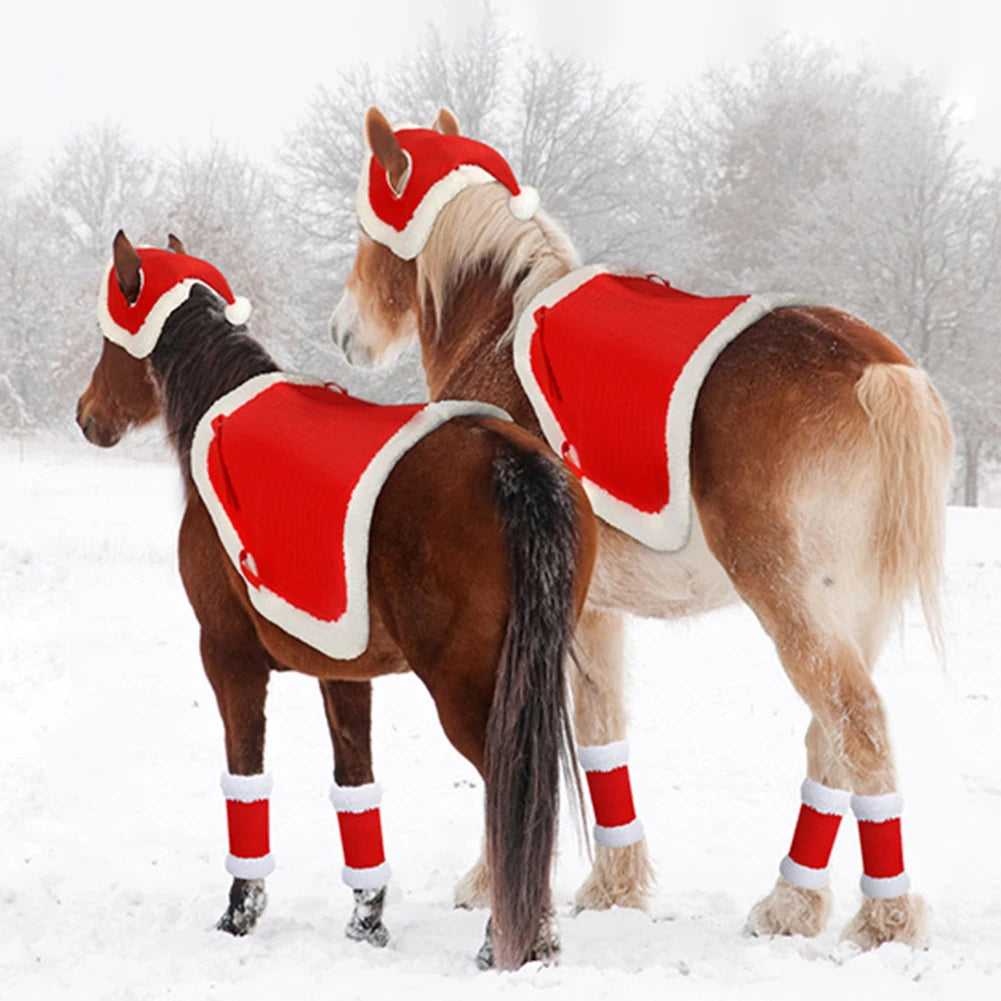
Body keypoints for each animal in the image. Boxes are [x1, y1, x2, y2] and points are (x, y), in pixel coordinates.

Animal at [75, 230, 597, 971]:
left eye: (107, 337)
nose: (87, 416)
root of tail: (509, 461)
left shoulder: (227, 657)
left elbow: (245, 776)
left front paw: (240, 911)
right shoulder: (343, 671)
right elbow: (355, 785)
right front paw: (367, 921)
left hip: (471, 690)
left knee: (513, 789)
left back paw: (512, 941)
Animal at [330, 106, 954, 949]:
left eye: (365, 230)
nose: (343, 332)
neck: (496, 336)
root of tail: (875, 368)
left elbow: (513, 737)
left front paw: (491, 881)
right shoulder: (593, 613)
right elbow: (601, 733)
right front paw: (614, 886)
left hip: (795, 605)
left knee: (856, 727)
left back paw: (884, 917)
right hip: (850, 613)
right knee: (828, 738)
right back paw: (791, 903)